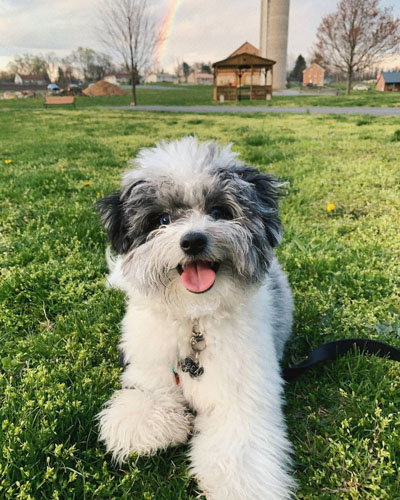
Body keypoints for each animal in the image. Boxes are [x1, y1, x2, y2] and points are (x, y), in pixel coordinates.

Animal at [96, 137, 296, 500]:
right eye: (162, 220)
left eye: (219, 211)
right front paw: (141, 420)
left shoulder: (242, 394)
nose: (192, 240)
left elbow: (240, 445)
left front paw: (242, 485)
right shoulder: (153, 364)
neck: (196, 316)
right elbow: (150, 393)